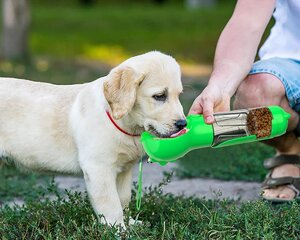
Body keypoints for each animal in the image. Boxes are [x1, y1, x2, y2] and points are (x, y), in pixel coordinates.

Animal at [0, 50, 185, 227]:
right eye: (160, 96)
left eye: (179, 95)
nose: (183, 124)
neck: (124, 124)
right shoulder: (98, 168)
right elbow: (111, 205)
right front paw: (118, 230)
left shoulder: (124, 170)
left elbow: (124, 199)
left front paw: (130, 224)